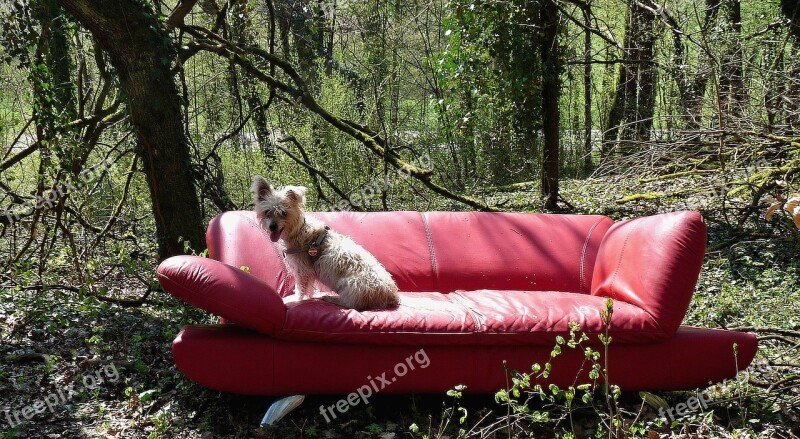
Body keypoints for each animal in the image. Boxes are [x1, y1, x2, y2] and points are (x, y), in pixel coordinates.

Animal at [250, 174, 400, 310]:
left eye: (283, 213)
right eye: (267, 212)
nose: (272, 227)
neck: (298, 230)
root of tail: (391, 295)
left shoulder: (302, 270)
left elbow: (301, 288)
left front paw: (297, 300)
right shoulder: (308, 272)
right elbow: (309, 288)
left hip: (351, 284)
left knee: (351, 304)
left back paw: (330, 298)